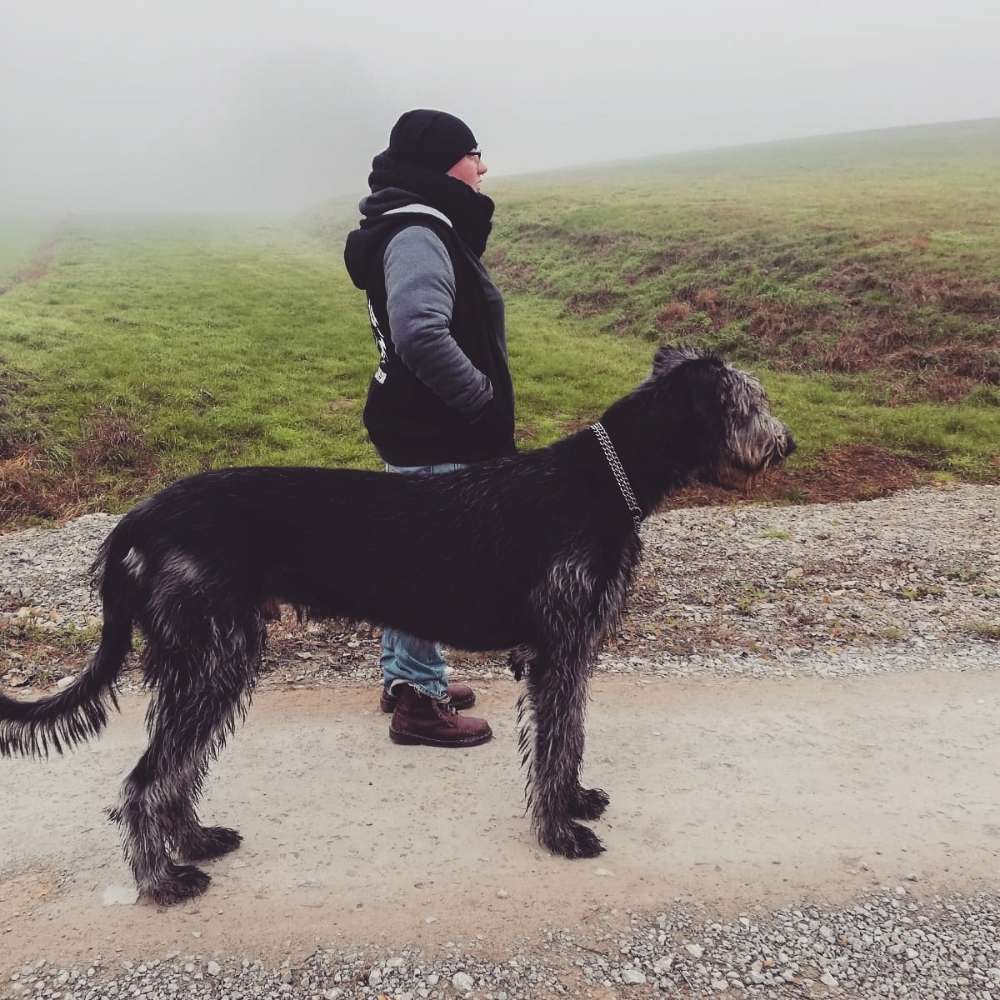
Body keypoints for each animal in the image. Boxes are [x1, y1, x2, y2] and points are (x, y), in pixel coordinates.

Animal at [1, 348, 796, 904]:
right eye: (748, 399)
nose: (785, 443)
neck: (608, 477)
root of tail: (137, 520)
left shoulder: (564, 653)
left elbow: (567, 739)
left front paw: (573, 803)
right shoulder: (558, 649)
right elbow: (554, 744)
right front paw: (561, 833)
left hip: (203, 659)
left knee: (174, 768)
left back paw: (192, 841)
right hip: (214, 657)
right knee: (146, 779)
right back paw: (161, 881)